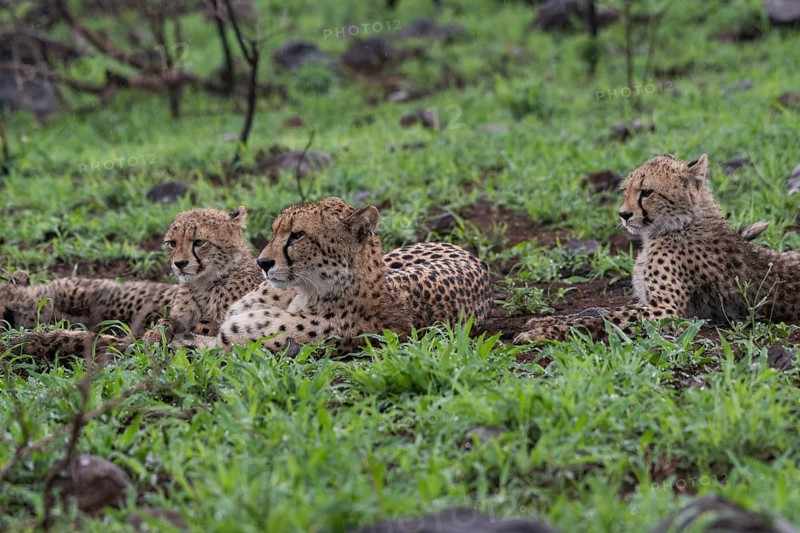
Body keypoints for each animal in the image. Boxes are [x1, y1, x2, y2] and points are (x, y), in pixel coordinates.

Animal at [2, 206, 265, 358]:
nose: (179, 264)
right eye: (172, 243)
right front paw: (154, 336)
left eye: (199, 242)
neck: (203, 282)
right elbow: (162, 324)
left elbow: (208, 327)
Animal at [514, 153, 800, 344]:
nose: (623, 215)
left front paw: (543, 332)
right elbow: (598, 311)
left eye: (647, 192)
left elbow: (603, 318)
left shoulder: (667, 311)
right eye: (625, 190)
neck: (677, 226)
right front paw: (544, 321)